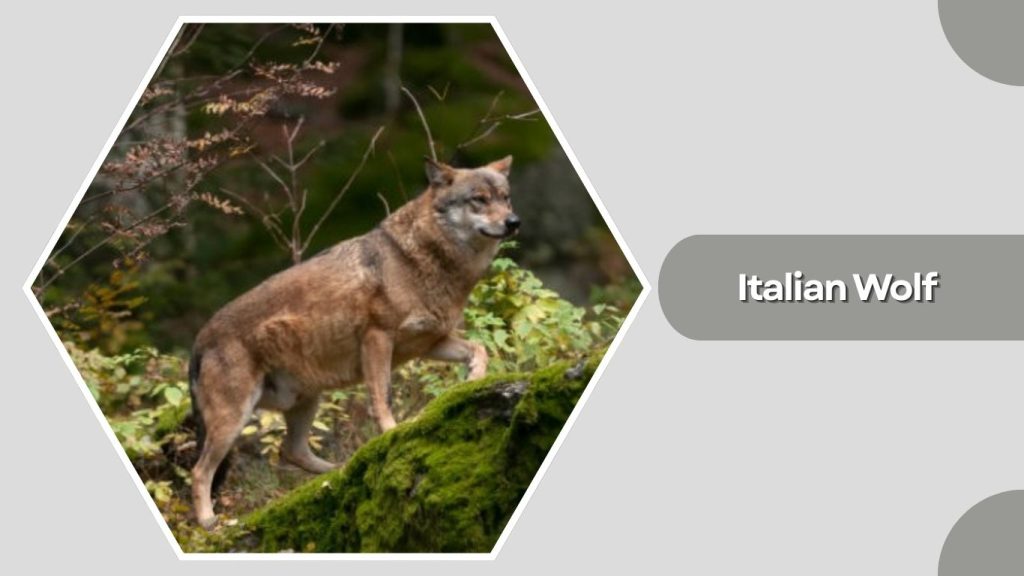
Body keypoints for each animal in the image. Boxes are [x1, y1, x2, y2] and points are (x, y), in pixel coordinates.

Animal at [188, 156, 518, 529]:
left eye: (505, 198)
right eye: (479, 200)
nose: (514, 222)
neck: (426, 260)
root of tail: (198, 342)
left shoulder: (431, 343)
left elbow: (480, 349)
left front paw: (474, 380)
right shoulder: (377, 338)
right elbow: (382, 398)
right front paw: (392, 433)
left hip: (306, 401)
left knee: (289, 450)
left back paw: (338, 470)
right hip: (234, 421)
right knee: (200, 472)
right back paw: (209, 522)